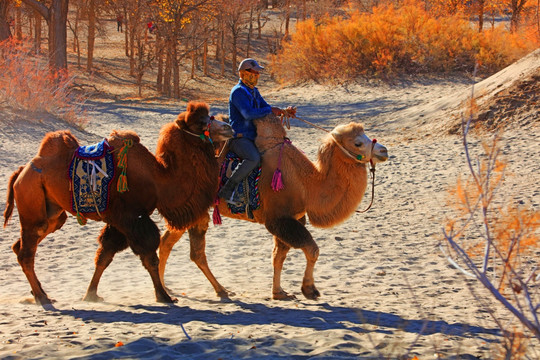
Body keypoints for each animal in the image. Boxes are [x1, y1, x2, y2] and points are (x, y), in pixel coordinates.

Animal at [3, 101, 232, 306]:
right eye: (200, 122)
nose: (228, 127)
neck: (159, 178)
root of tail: (21, 172)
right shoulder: (132, 217)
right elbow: (149, 255)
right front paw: (164, 296)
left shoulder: (119, 221)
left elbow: (105, 255)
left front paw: (91, 294)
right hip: (32, 207)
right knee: (26, 253)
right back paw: (41, 297)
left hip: (53, 214)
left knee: (22, 245)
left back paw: (38, 294)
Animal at [156, 114, 388, 300]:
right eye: (358, 142)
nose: (384, 150)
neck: (306, 185)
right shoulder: (278, 219)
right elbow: (311, 249)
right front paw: (309, 289)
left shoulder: (294, 217)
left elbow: (279, 256)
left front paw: (279, 292)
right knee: (192, 251)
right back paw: (214, 290)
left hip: (191, 208)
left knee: (169, 243)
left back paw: (173, 288)